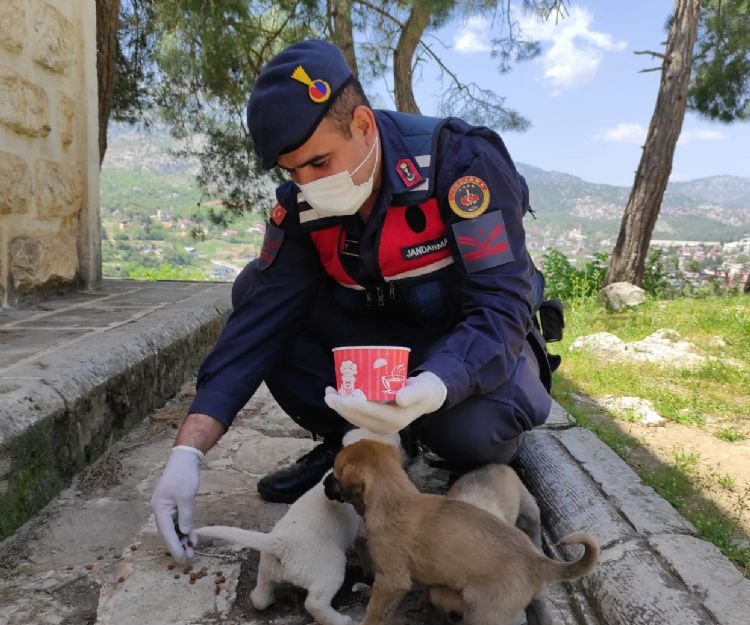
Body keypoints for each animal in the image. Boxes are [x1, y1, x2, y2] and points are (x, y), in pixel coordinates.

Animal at [328, 438, 600, 624]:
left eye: (336, 472)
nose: (324, 484)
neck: (393, 498)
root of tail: (535, 559)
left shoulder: (391, 580)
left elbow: (375, 609)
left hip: (484, 612)